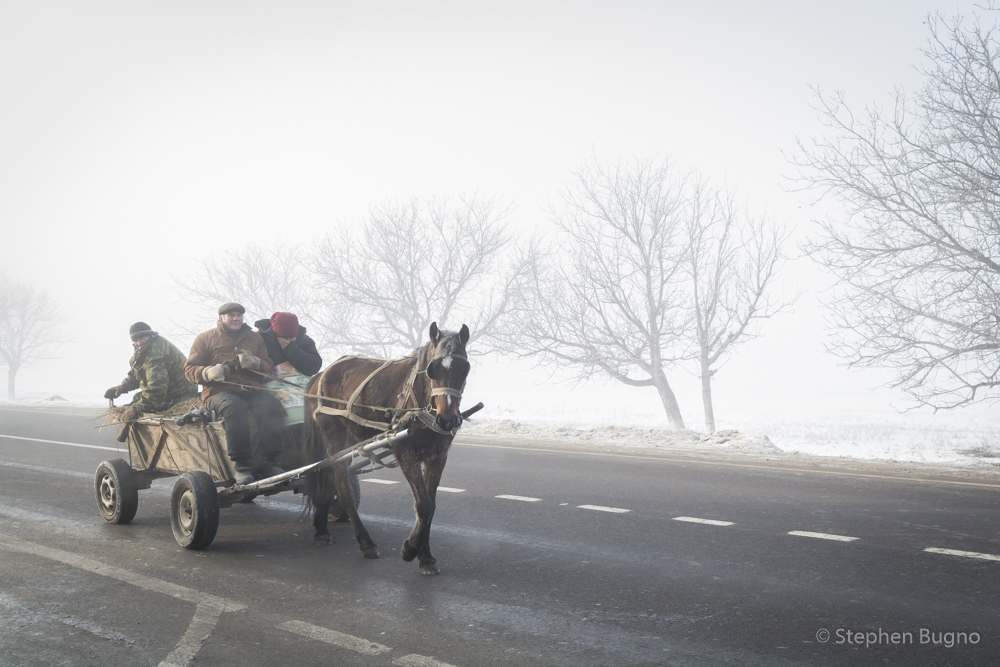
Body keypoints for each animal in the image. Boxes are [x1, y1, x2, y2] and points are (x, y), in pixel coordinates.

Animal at [303, 322, 471, 575]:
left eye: (464, 368)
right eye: (433, 369)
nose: (448, 420)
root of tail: (321, 375)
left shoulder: (437, 456)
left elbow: (430, 506)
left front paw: (425, 556)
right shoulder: (405, 453)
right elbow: (423, 505)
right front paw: (410, 549)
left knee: (327, 475)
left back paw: (322, 529)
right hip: (334, 436)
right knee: (341, 483)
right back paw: (365, 542)